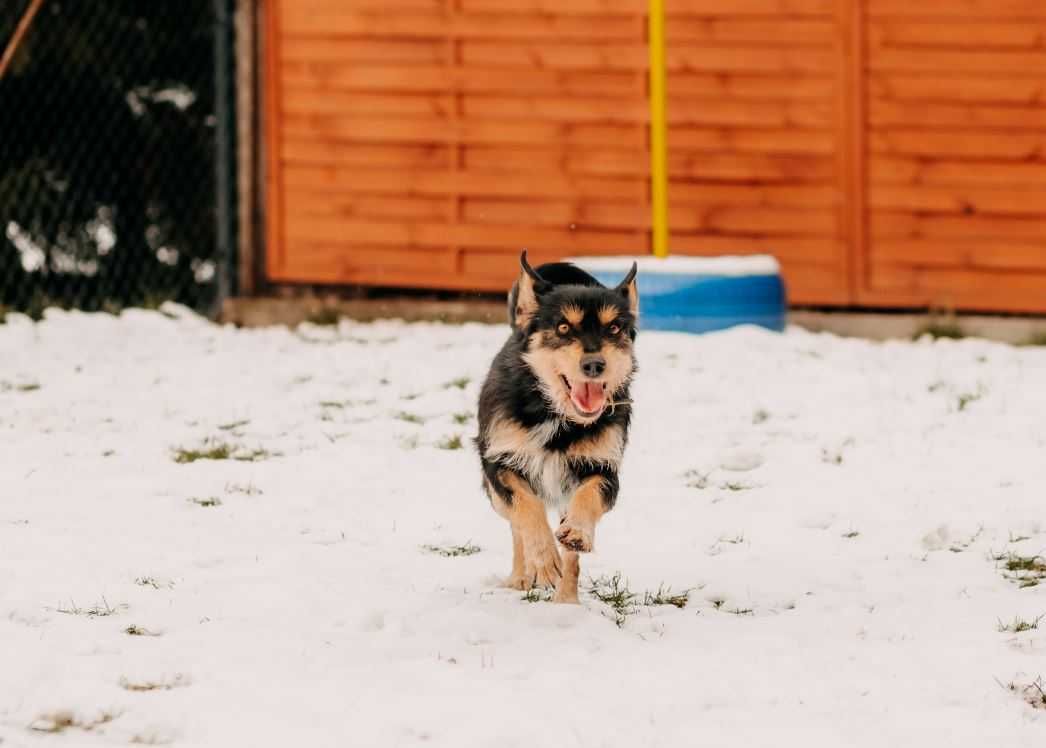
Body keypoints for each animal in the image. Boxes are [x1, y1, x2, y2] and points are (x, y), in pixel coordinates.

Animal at [476, 254, 635, 606]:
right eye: (563, 327)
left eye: (614, 327)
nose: (594, 365)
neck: (556, 414)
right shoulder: (500, 462)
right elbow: (527, 508)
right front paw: (543, 561)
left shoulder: (603, 470)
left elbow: (587, 499)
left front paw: (575, 537)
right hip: (494, 495)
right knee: (515, 526)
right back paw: (523, 575)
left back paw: (566, 601)